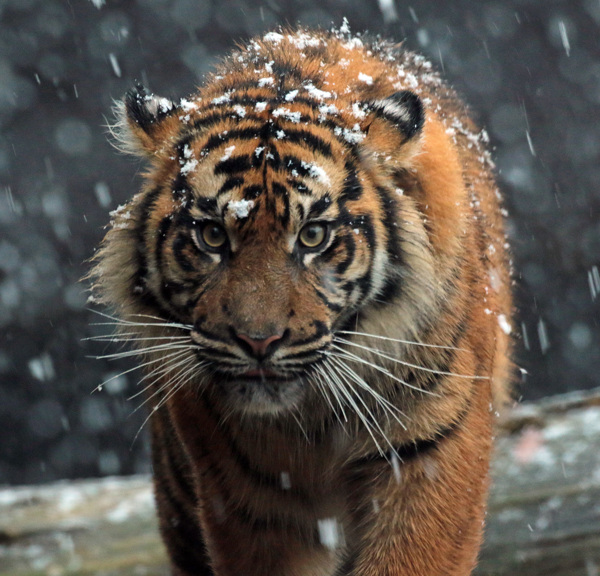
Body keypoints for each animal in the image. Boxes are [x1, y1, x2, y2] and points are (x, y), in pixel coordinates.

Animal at [89, 23, 510, 576]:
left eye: (312, 236)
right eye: (212, 235)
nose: (258, 342)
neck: (313, 422)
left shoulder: (433, 449)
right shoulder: (250, 496)